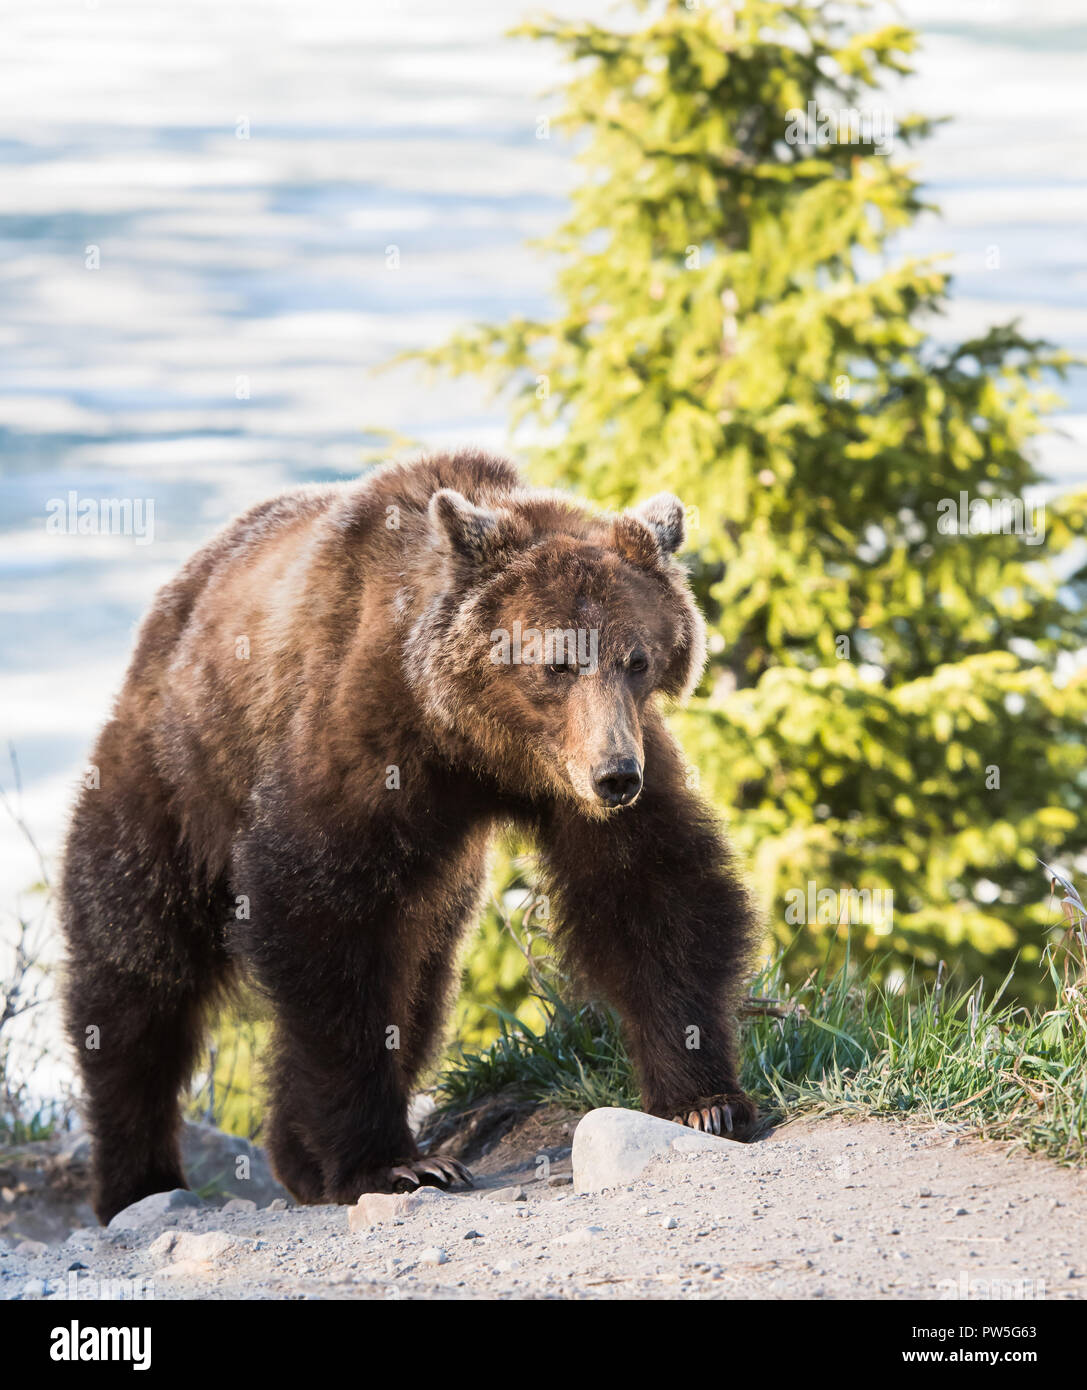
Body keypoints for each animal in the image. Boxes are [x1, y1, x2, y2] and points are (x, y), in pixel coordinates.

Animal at [59, 449, 758, 1223]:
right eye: (557, 662)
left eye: (637, 658)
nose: (614, 778)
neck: (478, 746)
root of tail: (177, 595)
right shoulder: (363, 745)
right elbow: (321, 924)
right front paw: (392, 1163)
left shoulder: (600, 767)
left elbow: (652, 891)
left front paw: (705, 1101)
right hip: (175, 775)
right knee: (137, 969)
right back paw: (138, 1177)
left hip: (436, 883)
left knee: (420, 982)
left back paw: (296, 1157)